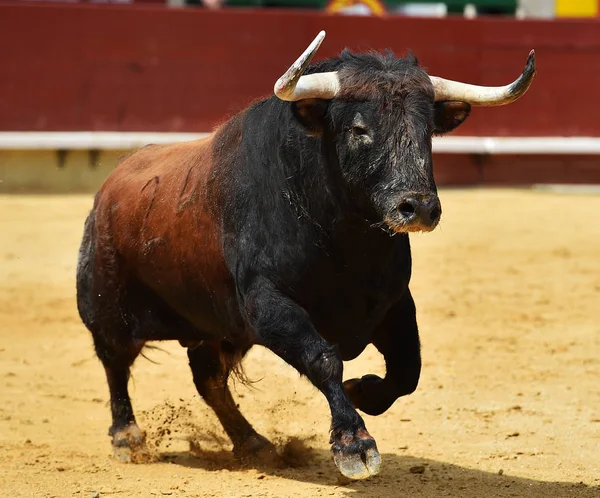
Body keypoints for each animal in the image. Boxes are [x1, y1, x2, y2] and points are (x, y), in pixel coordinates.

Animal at [76, 32, 540, 478]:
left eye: (427, 130)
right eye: (358, 128)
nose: (419, 207)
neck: (345, 242)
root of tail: (108, 189)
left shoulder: (393, 304)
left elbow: (408, 369)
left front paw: (362, 390)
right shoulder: (269, 306)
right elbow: (324, 359)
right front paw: (355, 444)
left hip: (218, 327)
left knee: (208, 377)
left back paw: (253, 443)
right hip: (108, 307)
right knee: (115, 363)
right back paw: (128, 439)